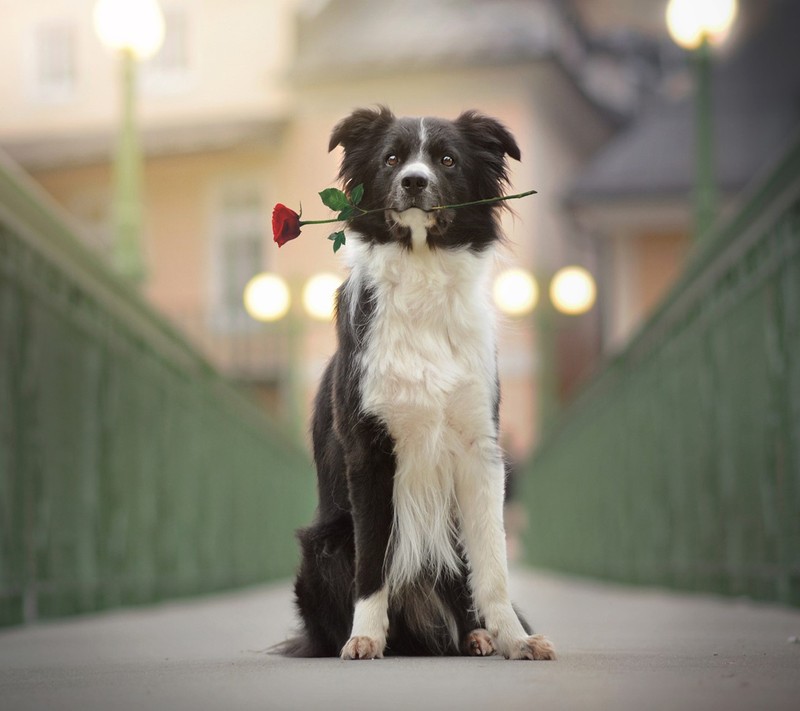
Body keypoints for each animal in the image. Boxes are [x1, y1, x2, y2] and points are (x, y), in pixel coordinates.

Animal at [282, 107, 556, 660]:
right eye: (391, 159)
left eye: (447, 160)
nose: (414, 181)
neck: (422, 273)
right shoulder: (368, 450)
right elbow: (373, 563)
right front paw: (364, 637)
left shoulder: (479, 449)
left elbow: (493, 564)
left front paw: (514, 639)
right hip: (321, 547)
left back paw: (477, 635)